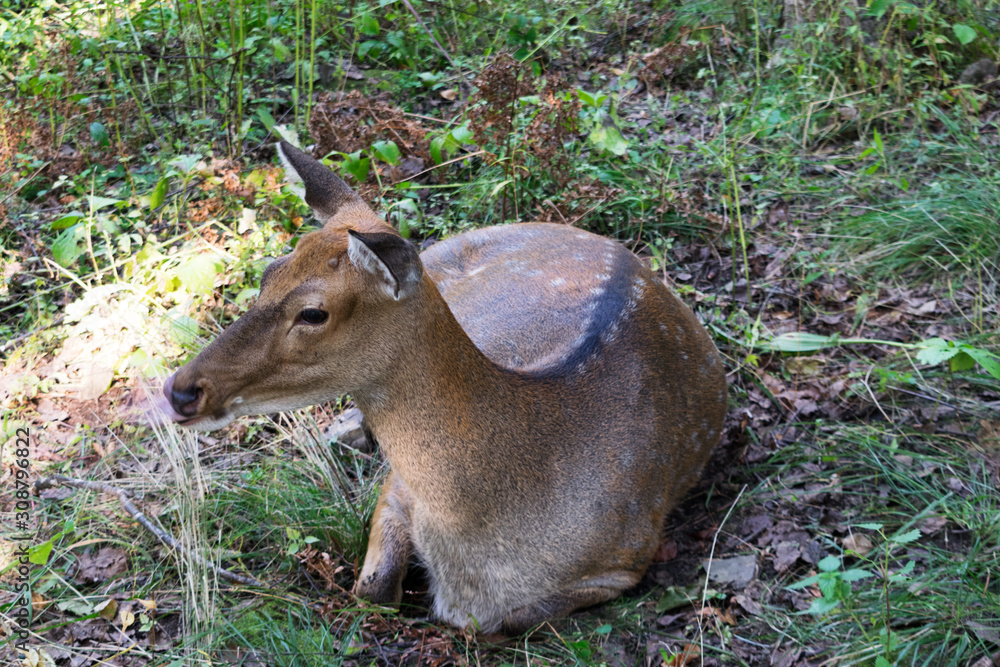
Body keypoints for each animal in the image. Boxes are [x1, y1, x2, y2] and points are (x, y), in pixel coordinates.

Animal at [157, 141, 727, 634]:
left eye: (314, 312)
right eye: (268, 275)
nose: (181, 390)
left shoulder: (628, 558)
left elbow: (500, 624)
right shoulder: (400, 488)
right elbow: (372, 588)